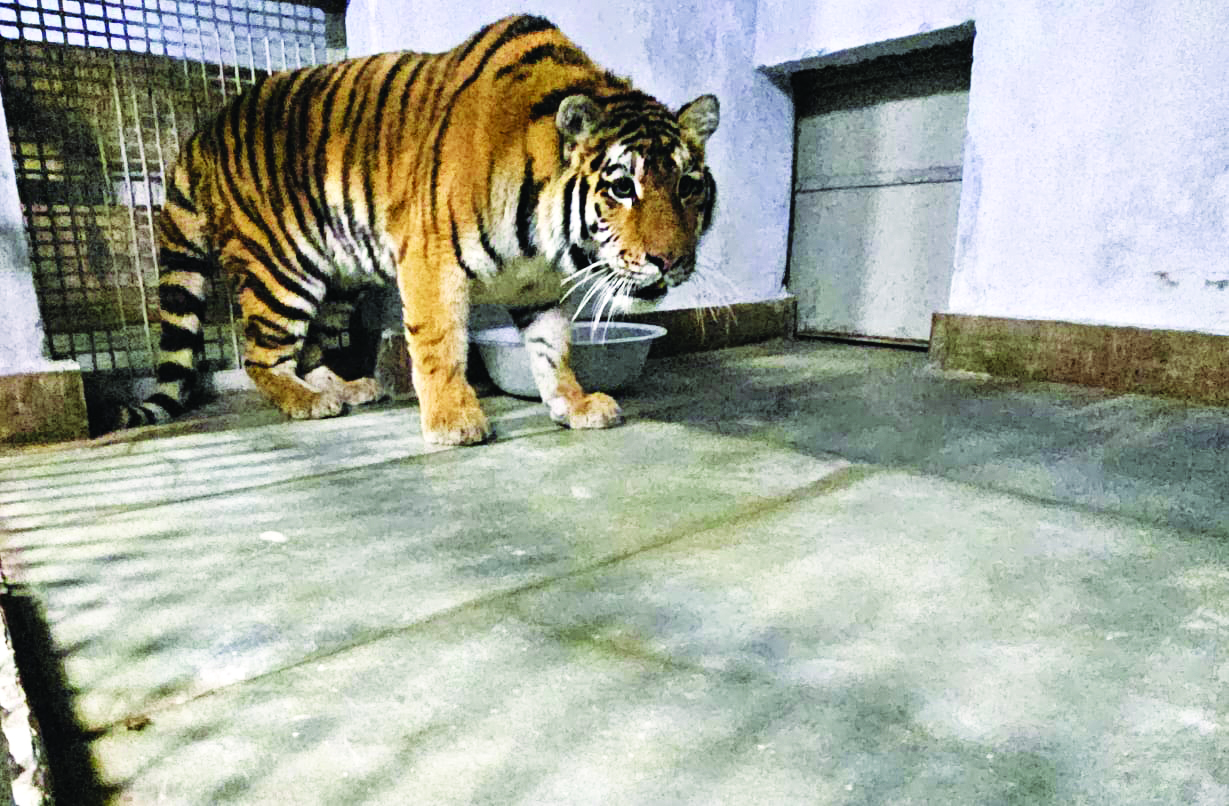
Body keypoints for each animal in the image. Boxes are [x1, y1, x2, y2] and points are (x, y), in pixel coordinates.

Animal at [114, 14, 719, 445]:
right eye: (621, 186)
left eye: (689, 186)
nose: (671, 260)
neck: (546, 241)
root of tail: (202, 131)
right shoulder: (430, 260)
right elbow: (439, 343)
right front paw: (453, 420)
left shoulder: (538, 286)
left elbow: (553, 349)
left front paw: (574, 404)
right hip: (280, 270)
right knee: (261, 355)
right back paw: (306, 401)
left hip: (338, 275)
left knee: (310, 349)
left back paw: (344, 387)